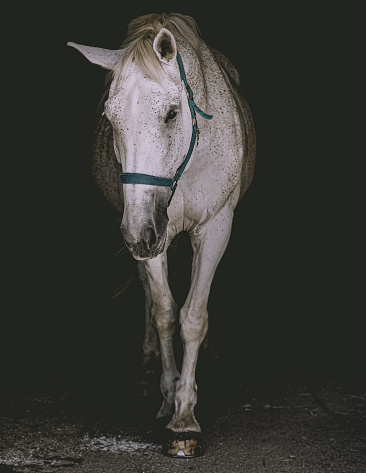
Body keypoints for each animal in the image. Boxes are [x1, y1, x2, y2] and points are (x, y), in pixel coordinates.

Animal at [69, 12, 254, 458]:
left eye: (171, 114)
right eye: (110, 118)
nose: (138, 233)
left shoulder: (216, 227)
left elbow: (194, 317)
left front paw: (185, 420)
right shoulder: (153, 234)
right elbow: (166, 312)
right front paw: (170, 401)